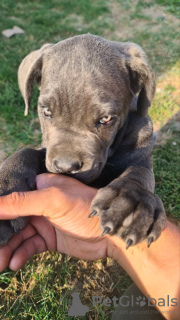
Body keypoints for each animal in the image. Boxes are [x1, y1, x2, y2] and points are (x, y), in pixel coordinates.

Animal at [0, 33, 166, 248]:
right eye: (47, 112)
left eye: (106, 119)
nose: (66, 167)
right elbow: (27, 151)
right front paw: (6, 185)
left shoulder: (141, 151)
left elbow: (140, 171)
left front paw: (133, 201)